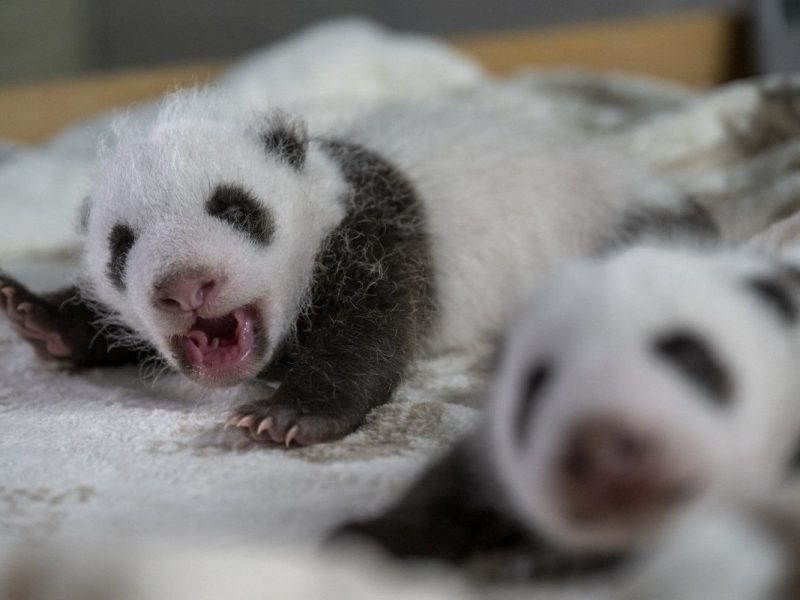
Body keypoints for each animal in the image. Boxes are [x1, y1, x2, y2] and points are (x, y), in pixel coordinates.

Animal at [0, 88, 708, 446]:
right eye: (121, 246)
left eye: (235, 208)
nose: (185, 286)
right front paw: (38, 315)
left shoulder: (375, 230)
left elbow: (371, 328)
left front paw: (288, 414)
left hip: (605, 218)